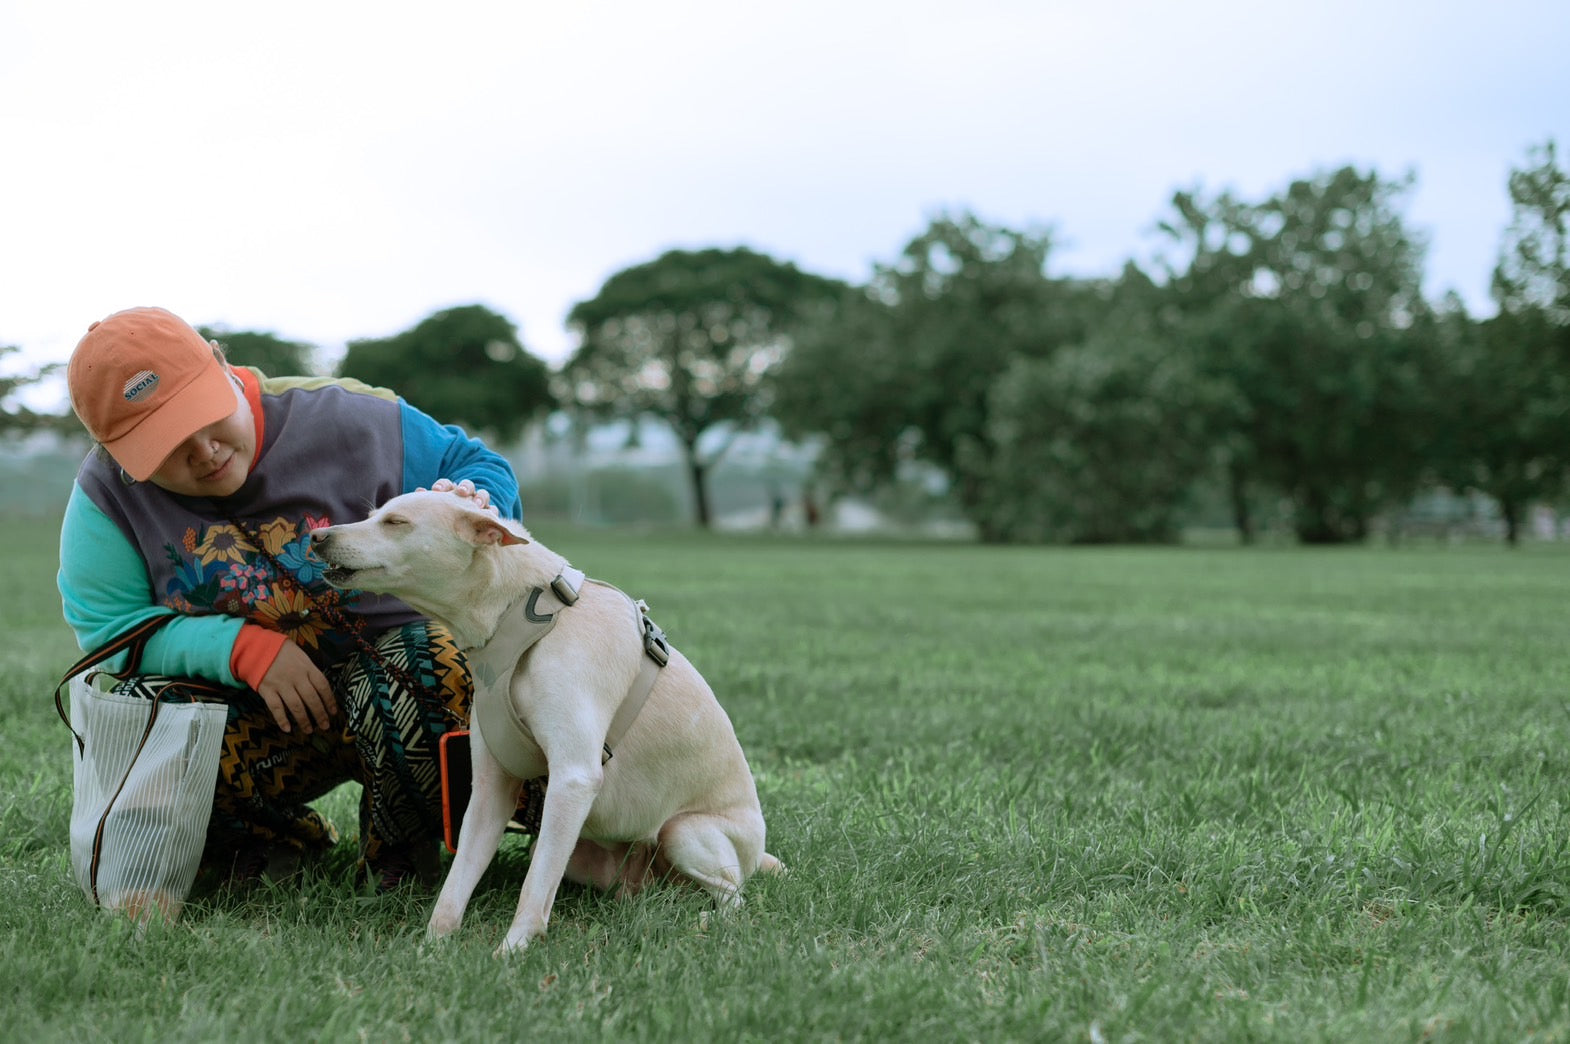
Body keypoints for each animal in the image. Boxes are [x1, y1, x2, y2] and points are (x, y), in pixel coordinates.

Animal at [309, 489, 775, 954]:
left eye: (397, 522)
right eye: (374, 514)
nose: (316, 537)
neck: (523, 615)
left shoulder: (573, 778)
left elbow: (533, 890)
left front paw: (511, 952)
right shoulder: (490, 788)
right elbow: (457, 883)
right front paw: (433, 947)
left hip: (683, 832)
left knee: (734, 897)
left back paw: (706, 921)